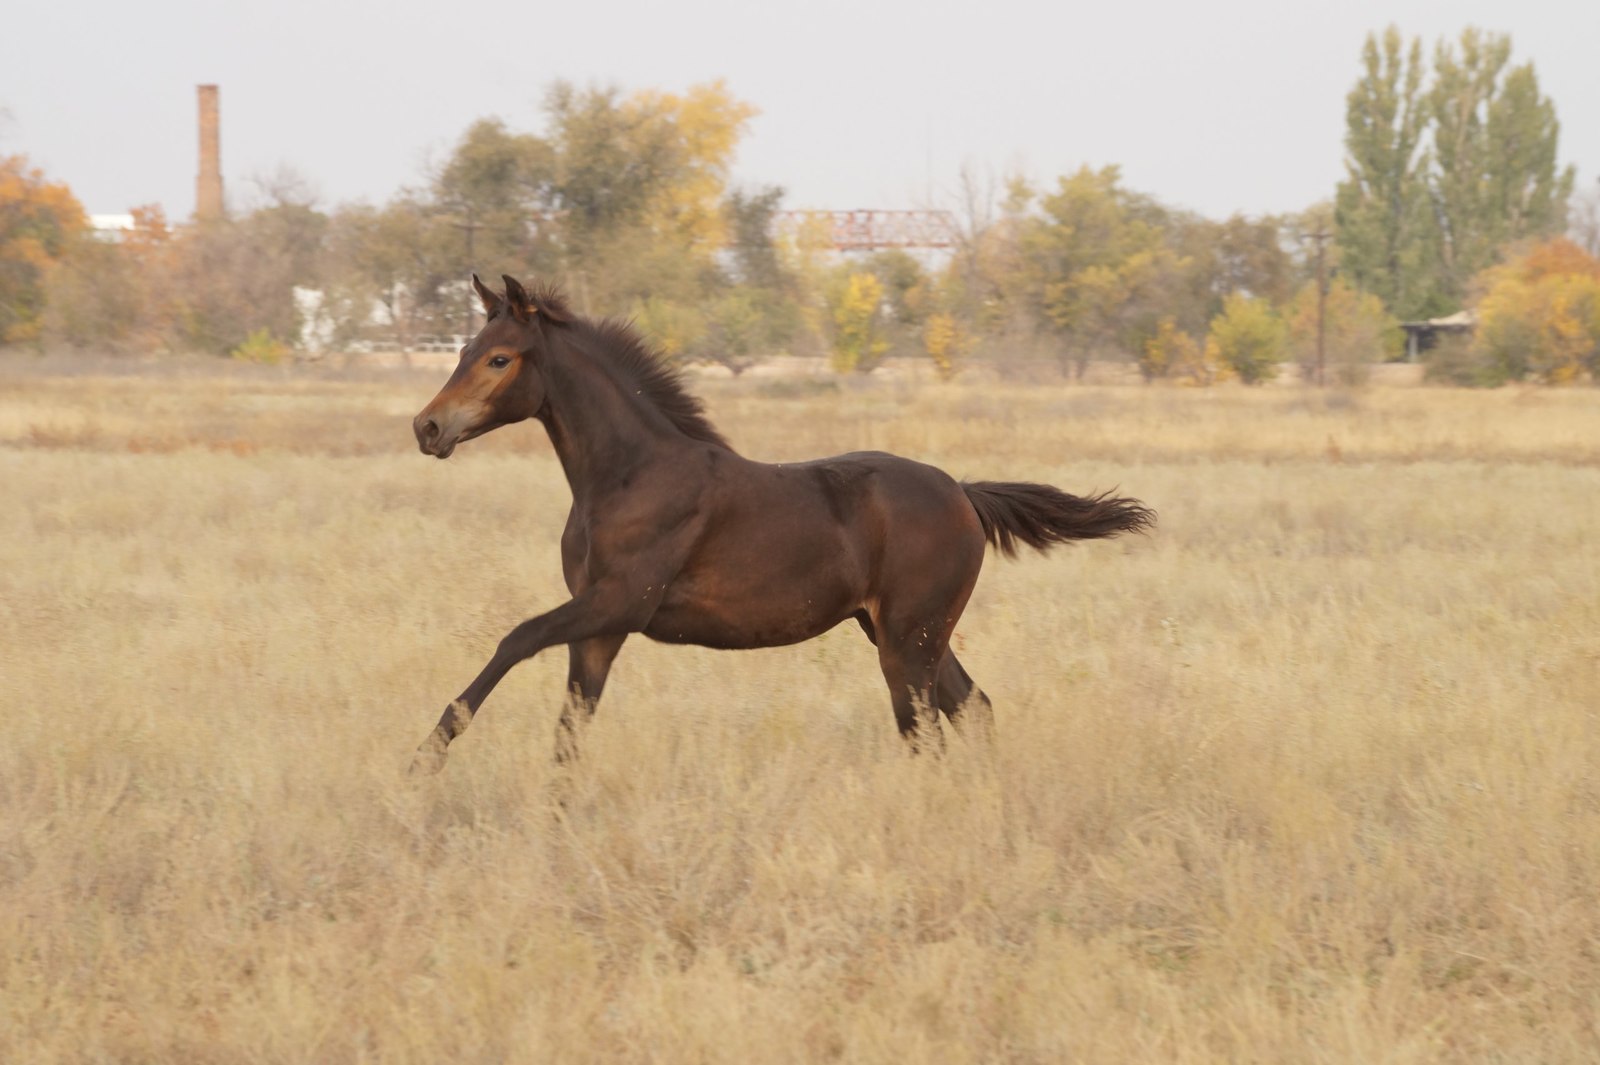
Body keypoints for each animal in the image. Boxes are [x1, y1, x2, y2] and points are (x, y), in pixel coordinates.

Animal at [403, 273, 1152, 770]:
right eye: (461, 350)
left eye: (500, 358)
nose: (427, 427)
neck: (628, 474)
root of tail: (964, 495)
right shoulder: (600, 629)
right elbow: (569, 731)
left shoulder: (619, 602)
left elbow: (514, 639)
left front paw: (426, 755)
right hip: (908, 633)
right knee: (972, 707)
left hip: (907, 642)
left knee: (927, 730)